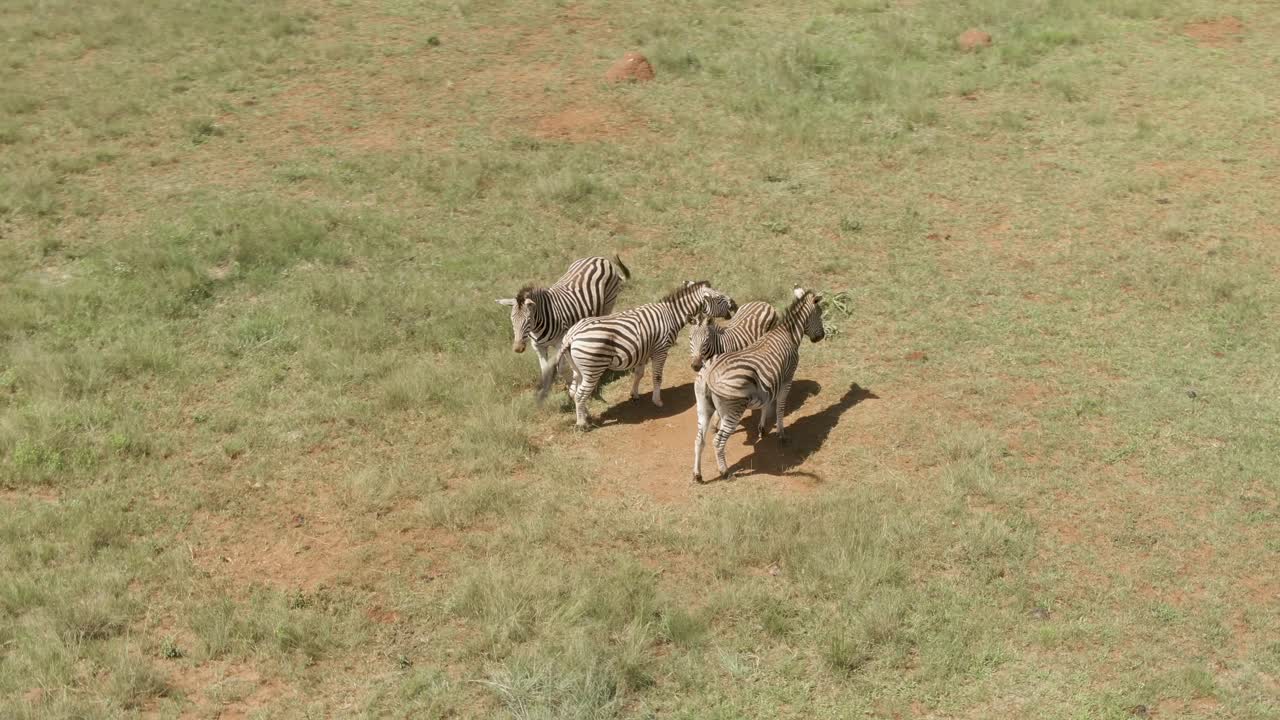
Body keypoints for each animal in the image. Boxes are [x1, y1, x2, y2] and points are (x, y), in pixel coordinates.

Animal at [496, 255, 630, 385]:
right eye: (512, 320)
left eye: (529, 320)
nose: (518, 348)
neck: (537, 328)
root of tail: (600, 258)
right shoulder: (538, 347)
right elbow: (544, 370)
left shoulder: (560, 342)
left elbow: (561, 368)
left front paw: (571, 381)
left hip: (609, 301)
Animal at [538, 281, 737, 429]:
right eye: (719, 298)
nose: (734, 304)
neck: (671, 315)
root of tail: (572, 334)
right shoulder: (660, 349)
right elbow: (657, 377)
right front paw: (657, 401)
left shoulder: (643, 350)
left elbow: (639, 374)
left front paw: (634, 394)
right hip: (592, 368)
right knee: (580, 394)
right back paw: (582, 424)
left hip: (578, 368)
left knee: (574, 392)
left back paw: (586, 415)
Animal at [692, 287, 826, 483]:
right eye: (820, 314)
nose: (821, 337)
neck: (788, 334)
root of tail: (709, 372)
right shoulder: (787, 378)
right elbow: (780, 408)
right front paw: (781, 434)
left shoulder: (771, 381)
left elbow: (766, 405)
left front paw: (762, 429)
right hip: (733, 410)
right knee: (718, 441)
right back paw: (725, 472)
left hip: (703, 405)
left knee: (699, 440)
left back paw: (697, 475)